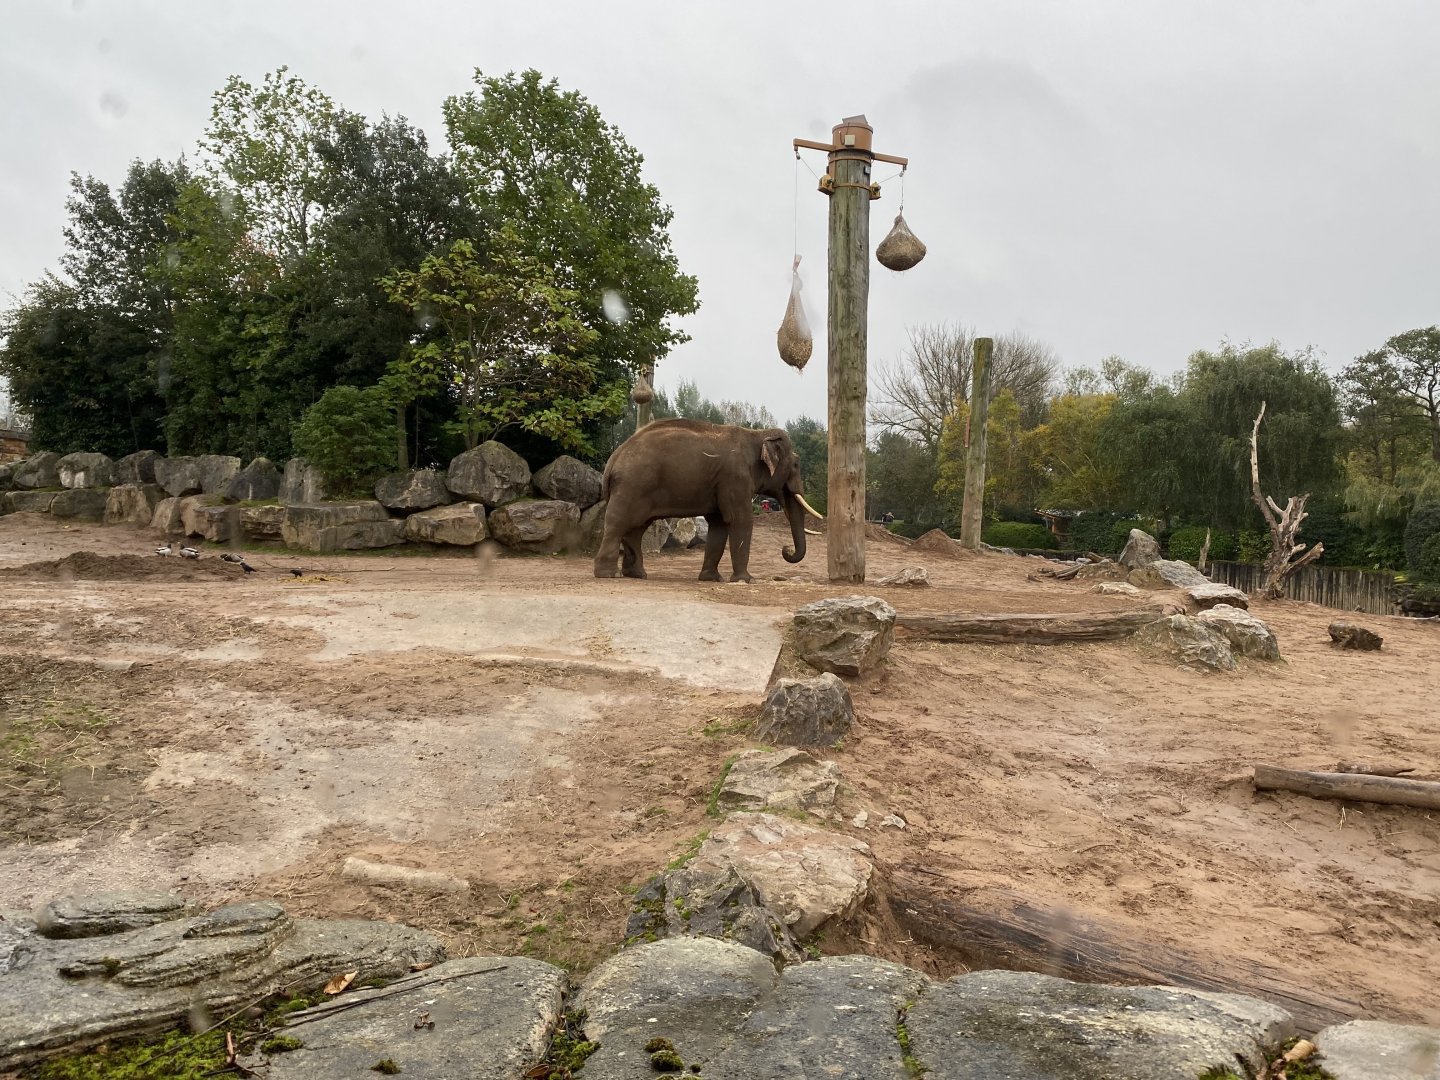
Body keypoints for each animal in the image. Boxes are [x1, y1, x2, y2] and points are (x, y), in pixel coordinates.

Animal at [593, 418, 824, 582]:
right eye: (796, 465)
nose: (786, 550)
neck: (757, 434)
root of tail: (614, 458)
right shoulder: (735, 478)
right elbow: (740, 520)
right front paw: (746, 580)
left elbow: (719, 524)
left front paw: (712, 579)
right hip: (631, 486)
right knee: (619, 523)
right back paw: (609, 574)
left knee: (636, 528)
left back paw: (637, 575)